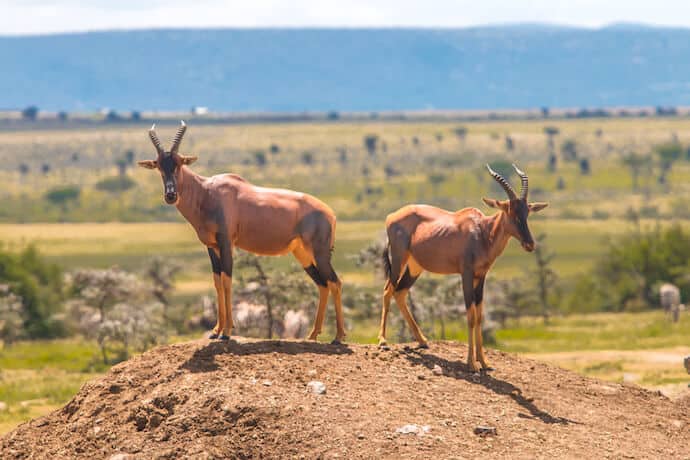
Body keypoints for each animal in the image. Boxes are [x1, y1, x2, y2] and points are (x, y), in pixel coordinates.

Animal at [378, 164, 544, 372]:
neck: (481, 231)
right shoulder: (466, 274)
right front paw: (471, 364)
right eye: (510, 211)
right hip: (399, 259)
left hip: (415, 267)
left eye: (527, 212)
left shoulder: (481, 277)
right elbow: (470, 316)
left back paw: (422, 341)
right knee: (388, 290)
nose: (530, 244)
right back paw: (382, 341)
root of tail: (391, 216)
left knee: (400, 292)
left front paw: (484, 362)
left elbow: (480, 315)